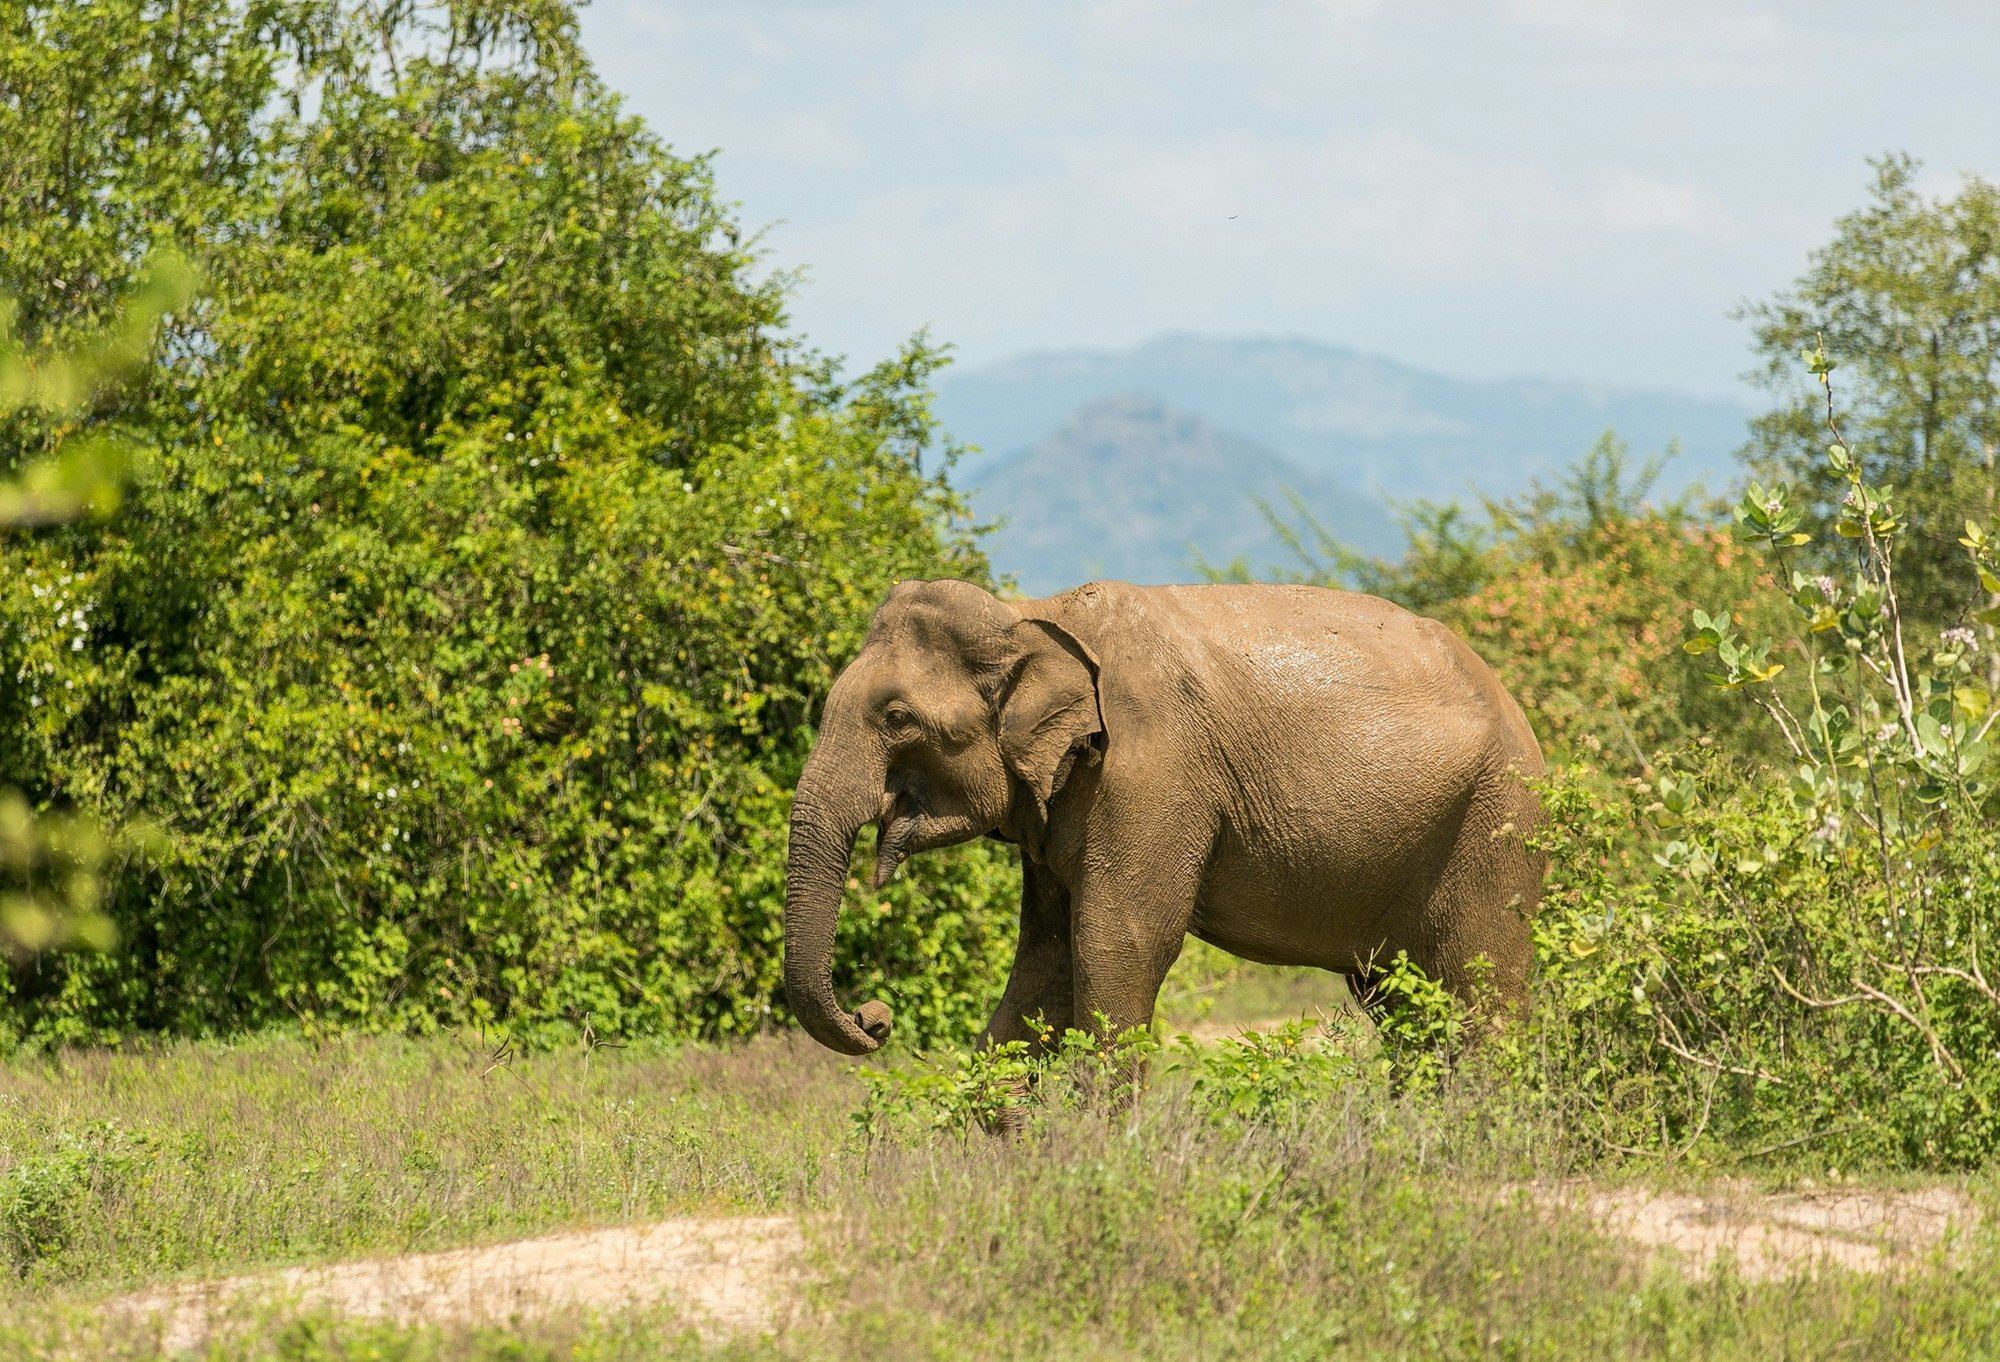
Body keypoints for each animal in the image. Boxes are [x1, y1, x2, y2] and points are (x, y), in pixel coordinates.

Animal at [782, 577, 1545, 1058]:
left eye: (897, 718)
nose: (875, 1018)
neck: (1031, 614)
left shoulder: (1149, 771)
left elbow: (1118, 943)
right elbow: (1044, 960)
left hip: (1497, 825)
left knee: (1480, 986)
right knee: (1401, 999)